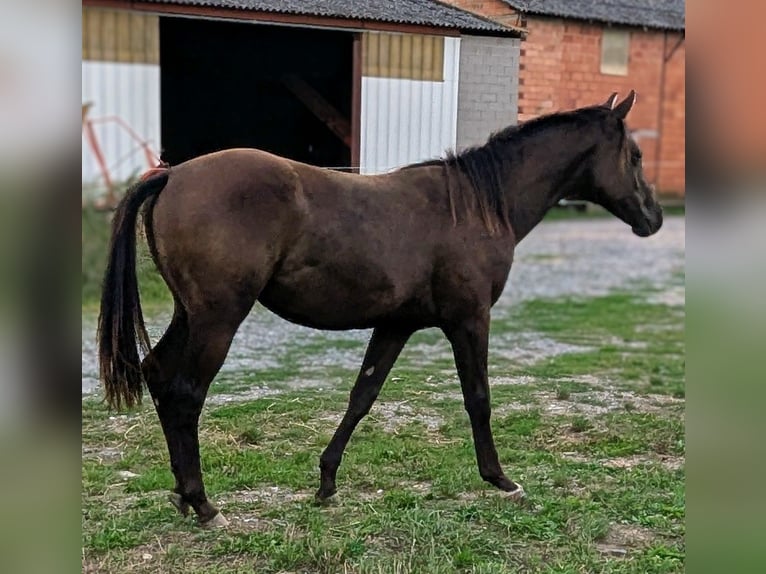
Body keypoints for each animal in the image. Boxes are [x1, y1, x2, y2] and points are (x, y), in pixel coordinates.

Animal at [97, 91, 662, 527]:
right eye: (635, 156)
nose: (654, 218)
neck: (478, 204)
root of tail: (173, 176)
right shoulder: (469, 320)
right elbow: (478, 398)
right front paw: (500, 479)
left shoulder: (397, 325)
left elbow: (362, 396)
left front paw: (327, 481)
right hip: (218, 319)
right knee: (186, 394)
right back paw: (203, 504)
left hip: (190, 314)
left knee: (159, 376)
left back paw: (181, 496)